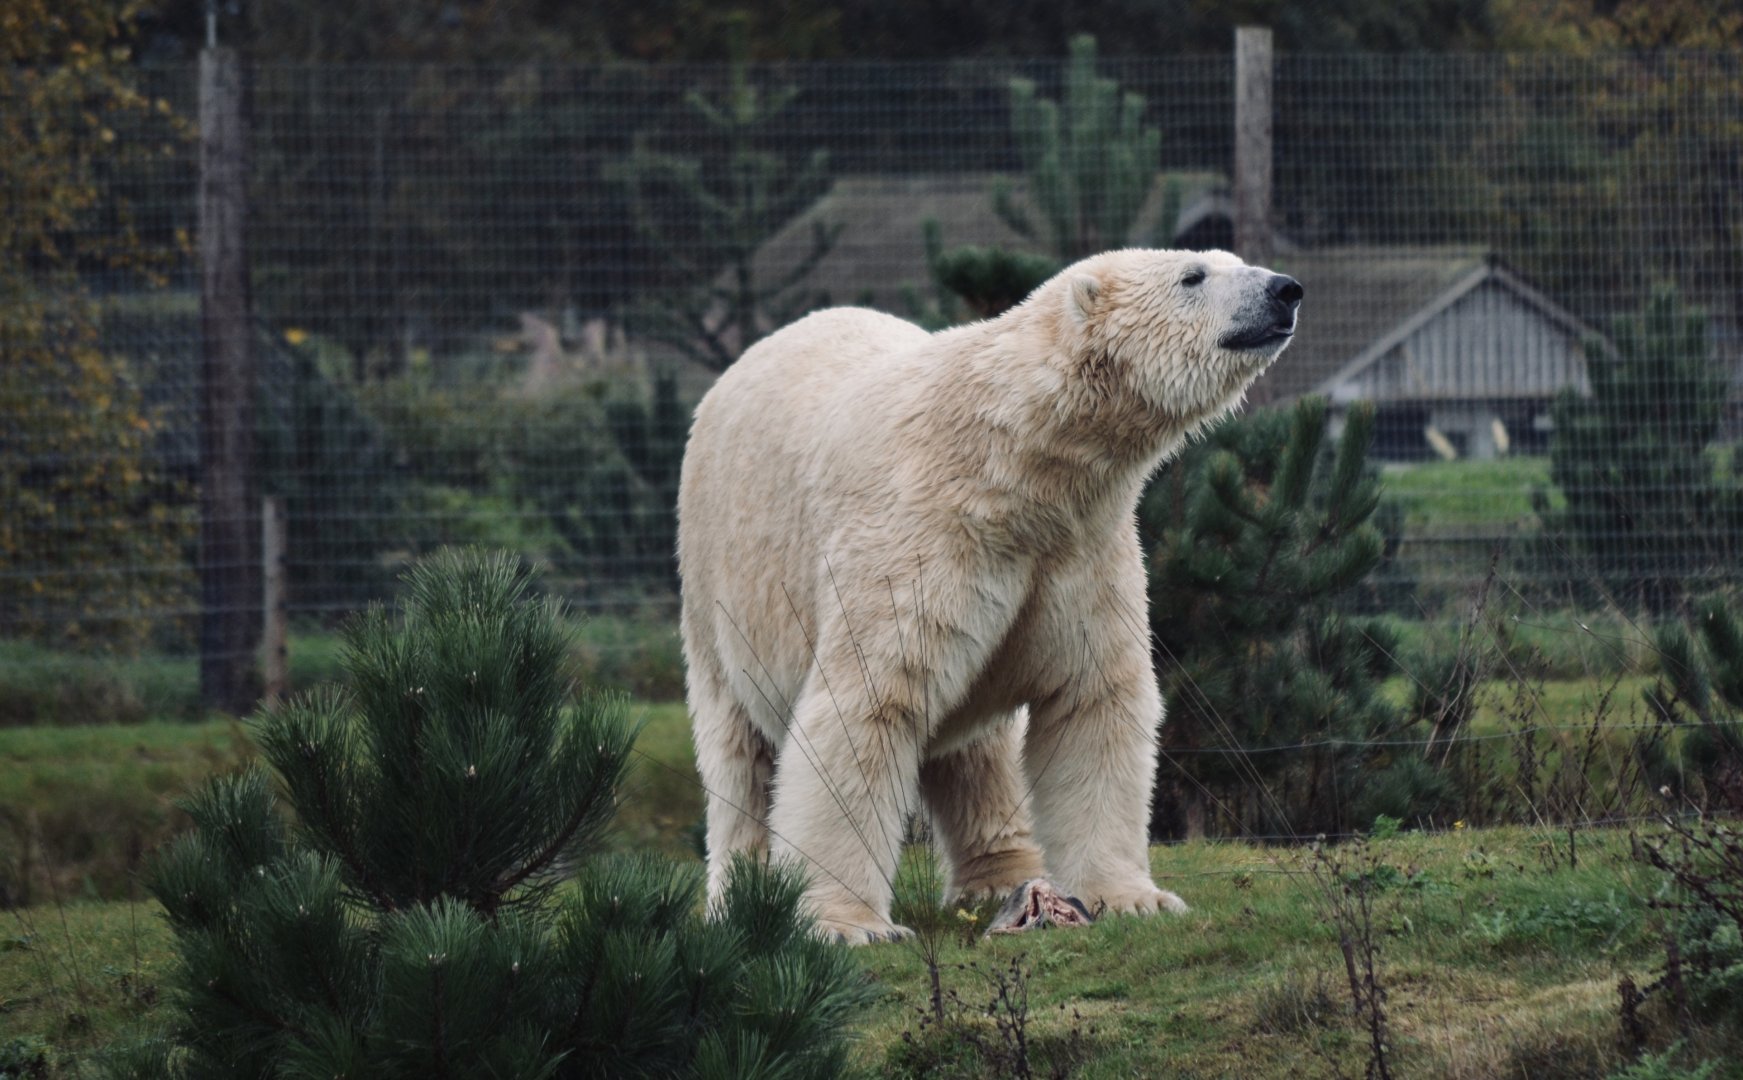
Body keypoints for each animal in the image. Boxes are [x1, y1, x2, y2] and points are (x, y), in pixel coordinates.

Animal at [677, 248, 1301, 943]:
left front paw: (1133, 897)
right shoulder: (921, 535)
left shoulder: (1081, 549)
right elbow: (865, 705)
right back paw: (740, 897)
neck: (1014, 460)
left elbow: (1091, 698)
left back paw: (1004, 877)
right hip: (717, 587)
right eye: (1193, 276)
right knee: (739, 756)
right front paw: (850, 925)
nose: (1285, 290)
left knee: (978, 749)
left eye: (1231, 259)